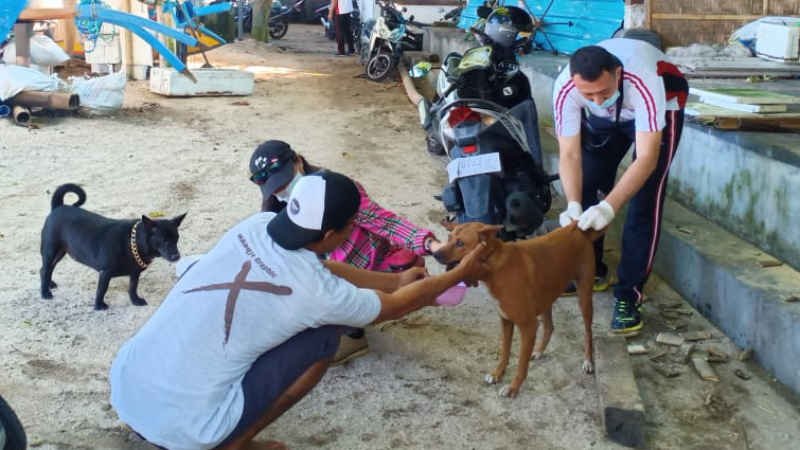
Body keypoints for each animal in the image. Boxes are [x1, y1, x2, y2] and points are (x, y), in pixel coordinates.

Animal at [40, 183, 186, 310]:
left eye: (177, 239)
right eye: (163, 241)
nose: (176, 256)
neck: (132, 243)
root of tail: (58, 207)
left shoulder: (135, 274)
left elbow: (132, 288)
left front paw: (135, 301)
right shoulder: (105, 273)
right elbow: (101, 290)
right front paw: (98, 306)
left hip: (61, 251)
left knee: (49, 268)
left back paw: (49, 284)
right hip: (50, 250)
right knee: (45, 269)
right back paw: (45, 292)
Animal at [438, 221, 600, 398]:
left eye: (460, 243)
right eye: (449, 237)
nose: (435, 253)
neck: (494, 266)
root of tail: (577, 229)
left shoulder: (528, 327)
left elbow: (522, 363)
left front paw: (512, 388)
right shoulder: (506, 321)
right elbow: (505, 352)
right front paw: (497, 374)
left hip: (584, 297)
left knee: (588, 332)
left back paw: (588, 361)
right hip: (545, 297)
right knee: (549, 327)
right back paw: (539, 351)